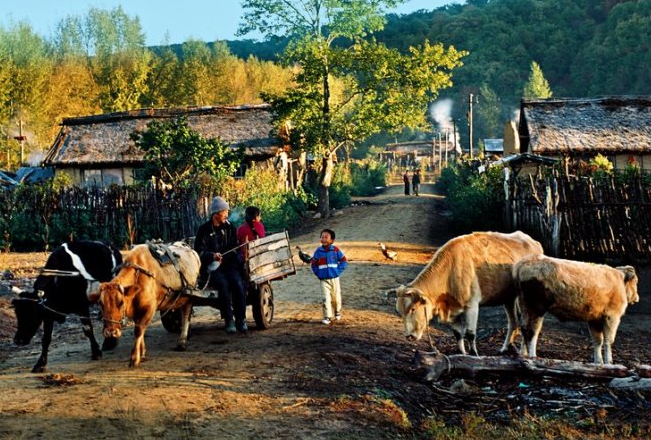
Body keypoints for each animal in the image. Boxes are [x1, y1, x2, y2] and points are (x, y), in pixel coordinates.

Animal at [12, 241, 123, 372]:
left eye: (32, 314)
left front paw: (96, 352)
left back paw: (109, 342)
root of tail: (110, 245)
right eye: (18, 315)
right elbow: (46, 339)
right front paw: (40, 364)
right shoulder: (48, 314)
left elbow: (88, 330)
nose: (18, 340)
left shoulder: (82, 307)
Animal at [392, 232, 544, 356]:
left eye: (413, 309)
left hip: (525, 299)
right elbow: (458, 333)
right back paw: (504, 349)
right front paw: (461, 353)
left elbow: (470, 334)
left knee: (525, 325)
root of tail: (533, 241)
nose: (409, 336)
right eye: (400, 312)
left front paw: (474, 354)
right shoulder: (452, 310)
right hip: (508, 298)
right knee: (513, 322)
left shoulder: (472, 306)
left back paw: (523, 353)